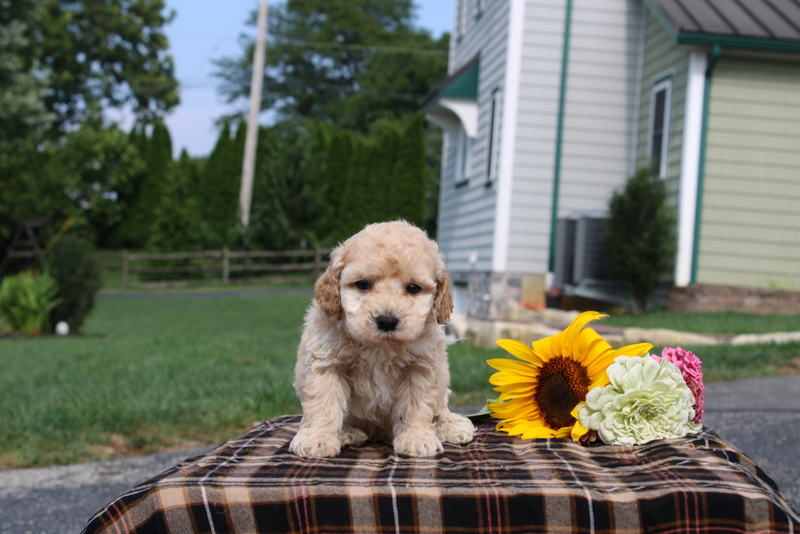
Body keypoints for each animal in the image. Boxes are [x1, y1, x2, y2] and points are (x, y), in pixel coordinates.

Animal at [290, 222, 472, 460]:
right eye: (362, 284)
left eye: (413, 288)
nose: (386, 320)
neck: (379, 348)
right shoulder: (327, 363)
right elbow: (323, 403)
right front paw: (317, 439)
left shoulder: (421, 366)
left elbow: (416, 404)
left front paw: (416, 438)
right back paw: (347, 433)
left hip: (442, 375)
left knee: (440, 407)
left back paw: (451, 425)